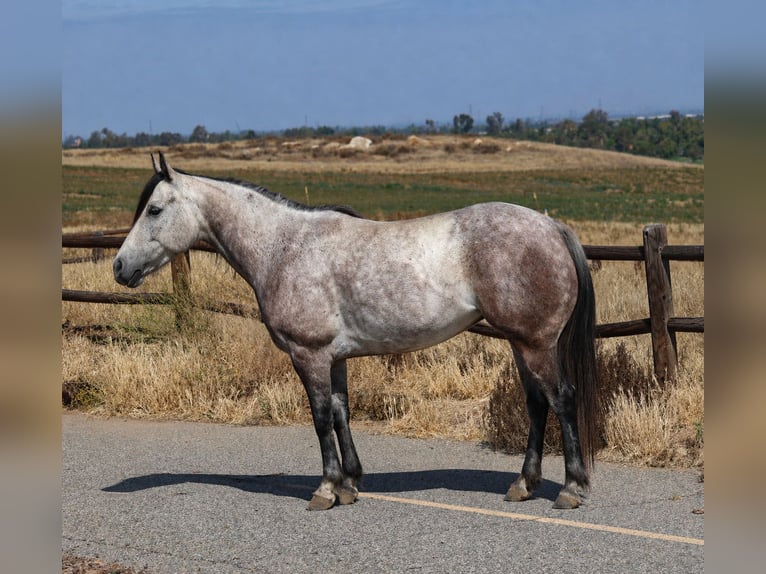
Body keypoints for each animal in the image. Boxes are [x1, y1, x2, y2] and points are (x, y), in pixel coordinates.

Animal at [113, 152, 597, 511]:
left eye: (154, 209)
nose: (120, 267)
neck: (285, 247)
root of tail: (552, 226)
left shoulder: (309, 355)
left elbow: (320, 417)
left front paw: (326, 489)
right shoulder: (335, 357)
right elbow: (341, 412)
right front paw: (349, 484)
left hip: (536, 344)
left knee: (561, 399)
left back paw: (572, 488)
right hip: (521, 343)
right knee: (537, 404)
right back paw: (524, 484)